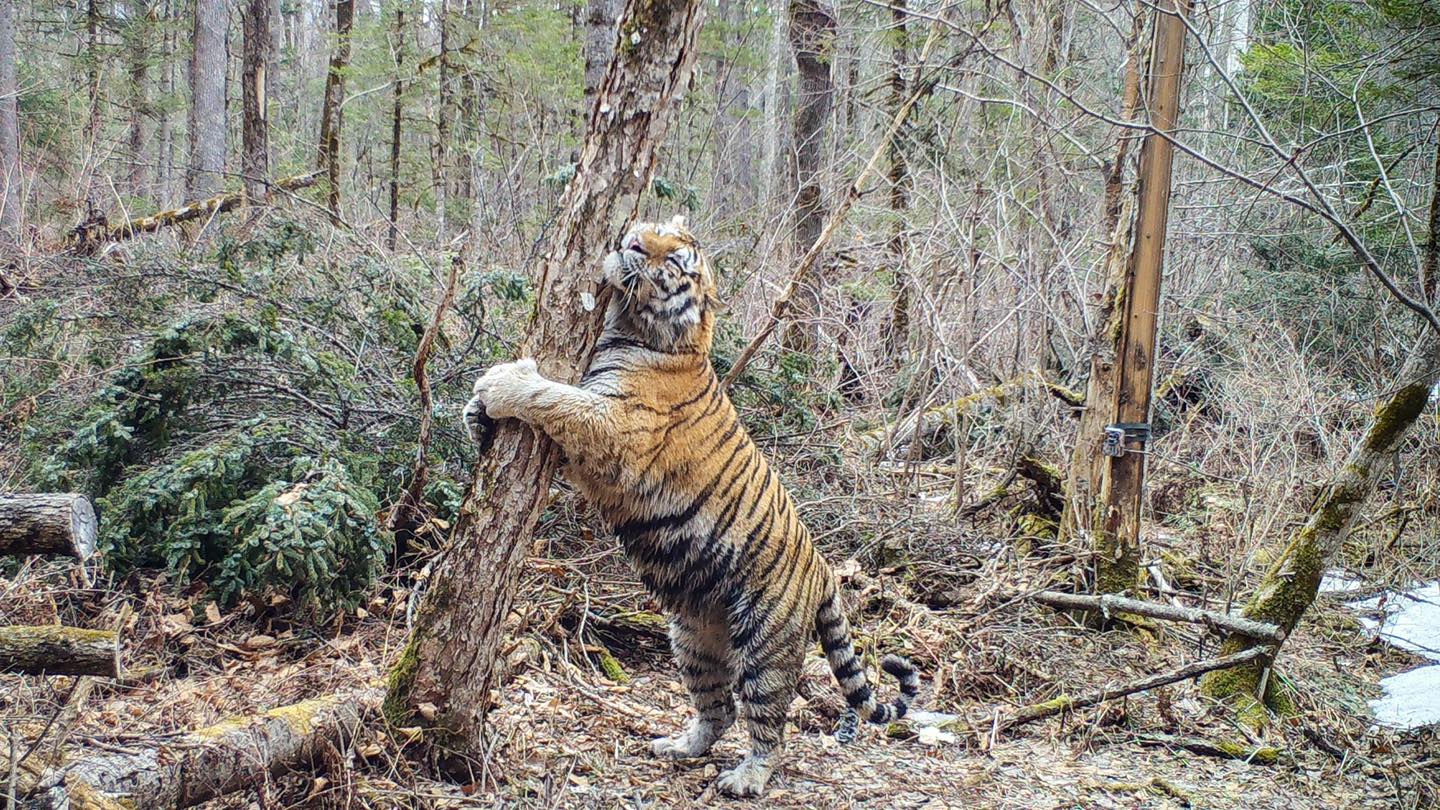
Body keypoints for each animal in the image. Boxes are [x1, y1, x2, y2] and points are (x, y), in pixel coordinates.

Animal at [466, 214, 927, 795]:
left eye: (673, 260)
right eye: (653, 229)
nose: (632, 240)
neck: (631, 327)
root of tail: (824, 569)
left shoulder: (613, 431)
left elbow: (554, 397)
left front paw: (504, 379)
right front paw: (477, 414)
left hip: (765, 645)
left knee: (769, 722)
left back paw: (747, 777)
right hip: (692, 637)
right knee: (719, 708)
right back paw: (679, 747)